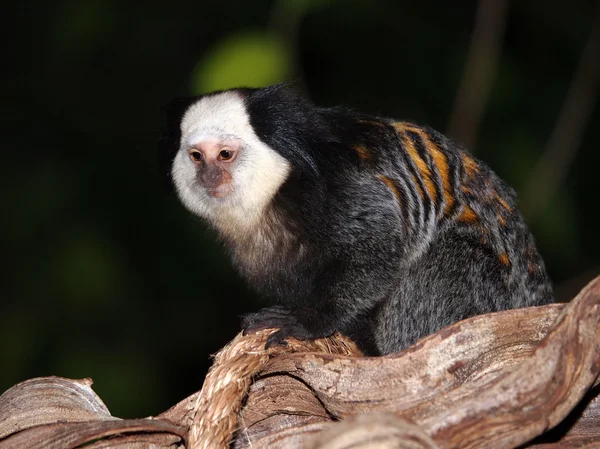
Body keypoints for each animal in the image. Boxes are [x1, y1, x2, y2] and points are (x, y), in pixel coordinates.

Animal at [161, 84, 552, 356]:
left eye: (225, 154)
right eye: (197, 156)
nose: (209, 175)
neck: (277, 192)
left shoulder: (337, 187)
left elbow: (377, 245)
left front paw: (312, 321)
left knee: (444, 257)